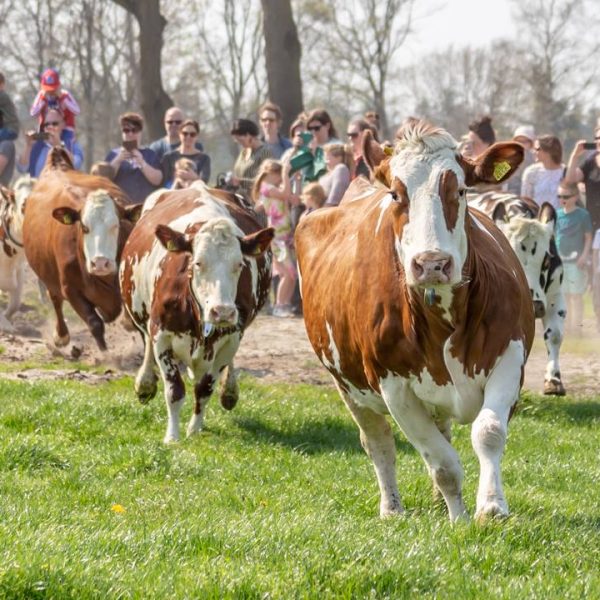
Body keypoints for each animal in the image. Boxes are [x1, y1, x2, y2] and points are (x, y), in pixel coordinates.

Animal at [22, 147, 142, 350]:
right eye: (84, 227)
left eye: (115, 225)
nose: (100, 263)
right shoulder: (70, 289)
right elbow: (94, 323)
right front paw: (106, 353)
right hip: (48, 276)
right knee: (55, 300)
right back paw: (61, 336)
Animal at [119, 182, 274, 440]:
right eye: (198, 262)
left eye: (239, 264)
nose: (222, 312)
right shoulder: (162, 335)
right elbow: (174, 390)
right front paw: (172, 436)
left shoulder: (230, 340)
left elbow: (204, 388)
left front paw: (194, 430)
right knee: (147, 342)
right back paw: (145, 384)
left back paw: (229, 391)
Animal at [296, 120, 536, 520]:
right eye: (395, 194)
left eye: (460, 189)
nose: (432, 264)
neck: (444, 316)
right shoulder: (394, 387)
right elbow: (442, 463)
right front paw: (459, 519)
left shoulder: (509, 355)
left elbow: (487, 432)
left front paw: (491, 507)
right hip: (347, 386)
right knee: (378, 441)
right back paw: (393, 508)